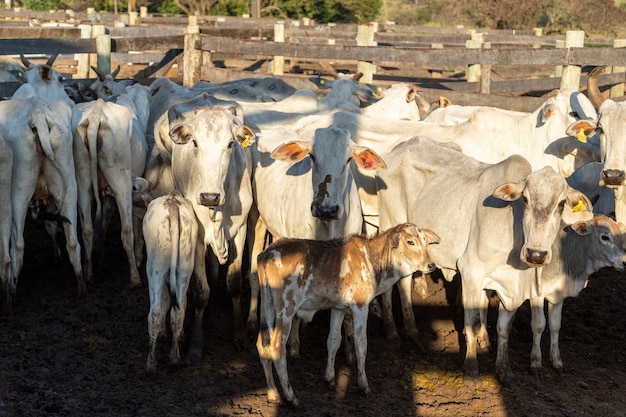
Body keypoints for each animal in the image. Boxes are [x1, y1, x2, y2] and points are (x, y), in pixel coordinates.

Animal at [143, 188, 197, 370]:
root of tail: (172, 204)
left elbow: (164, 301)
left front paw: (162, 333)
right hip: (184, 268)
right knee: (178, 310)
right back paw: (174, 357)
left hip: (155, 268)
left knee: (155, 311)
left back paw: (151, 363)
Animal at [254, 223, 438, 404]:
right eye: (410, 241)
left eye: (425, 241)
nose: (431, 265)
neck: (372, 260)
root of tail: (268, 252)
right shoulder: (360, 306)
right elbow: (361, 344)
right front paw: (364, 386)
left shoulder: (339, 308)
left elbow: (334, 341)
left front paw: (329, 379)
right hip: (286, 308)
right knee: (277, 347)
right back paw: (291, 397)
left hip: (268, 306)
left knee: (262, 345)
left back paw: (273, 392)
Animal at [372, 136, 592, 384]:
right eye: (525, 199)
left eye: (562, 204)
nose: (536, 254)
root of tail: (401, 147)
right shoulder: (471, 273)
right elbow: (472, 323)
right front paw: (471, 369)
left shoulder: (511, 286)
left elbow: (503, 328)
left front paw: (504, 370)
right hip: (391, 225)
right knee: (394, 282)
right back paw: (393, 330)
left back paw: (413, 333)